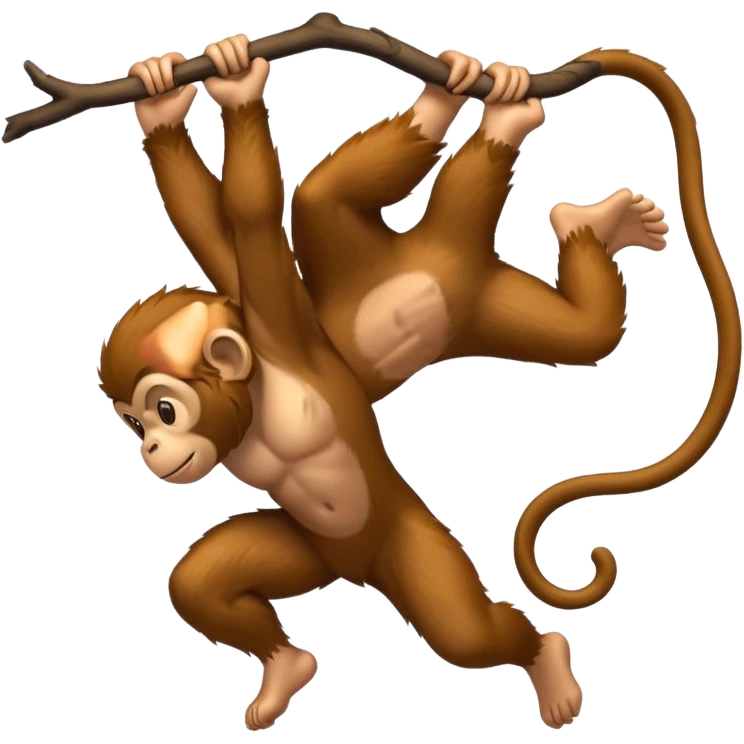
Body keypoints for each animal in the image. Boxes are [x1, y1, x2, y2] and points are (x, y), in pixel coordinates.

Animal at [98, 36, 587, 733]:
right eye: (137, 422)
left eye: (165, 410)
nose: (152, 449)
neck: (258, 396)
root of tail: (354, 572)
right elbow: (209, 229)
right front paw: (161, 99)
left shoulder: (279, 320)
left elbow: (248, 217)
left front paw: (237, 80)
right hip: (310, 553)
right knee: (203, 579)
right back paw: (285, 669)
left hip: (403, 543)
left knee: (465, 631)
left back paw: (550, 664)